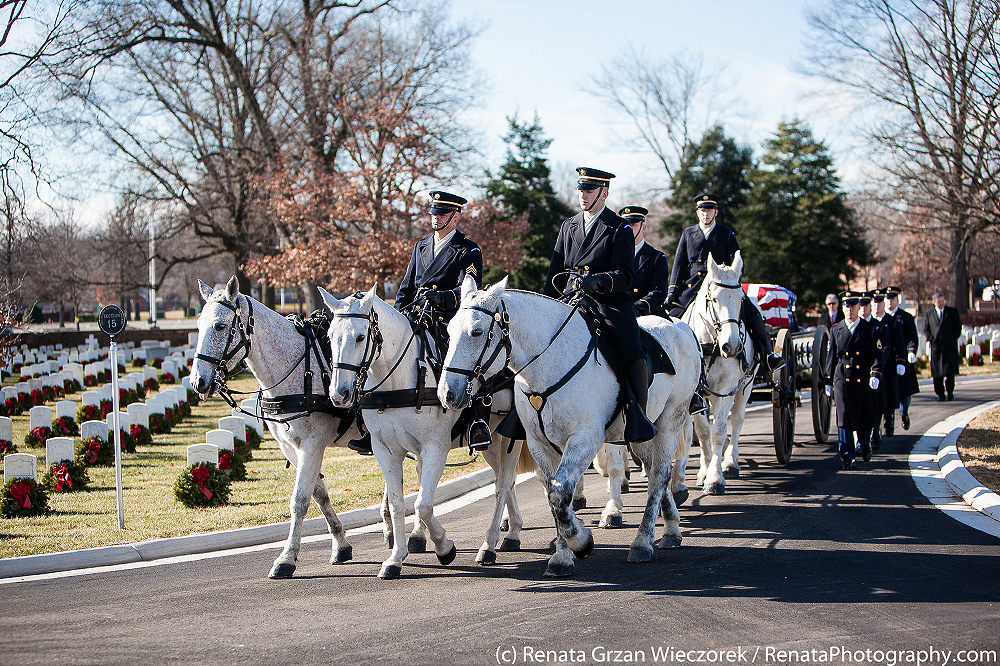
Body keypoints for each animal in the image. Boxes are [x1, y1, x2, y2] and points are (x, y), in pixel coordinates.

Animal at [189, 274, 362, 576]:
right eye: (198, 326)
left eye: (220, 326)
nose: (198, 381)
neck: (299, 369)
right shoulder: (290, 447)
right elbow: (319, 494)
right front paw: (340, 544)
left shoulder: (312, 445)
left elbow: (300, 500)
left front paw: (286, 558)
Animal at [318, 288, 524, 580]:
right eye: (330, 336)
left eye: (359, 337)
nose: (339, 394)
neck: (397, 381)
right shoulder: (386, 451)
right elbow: (397, 504)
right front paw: (395, 558)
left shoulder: (434, 448)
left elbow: (423, 505)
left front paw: (445, 548)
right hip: (492, 446)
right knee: (505, 483)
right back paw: (513, 530)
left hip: (507, 441)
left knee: (503, 485)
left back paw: (490, 545)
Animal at [442, 274, 700, 576]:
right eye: (448, 331)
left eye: (477, 332)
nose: (447, 393)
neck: (547, 365)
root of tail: (680, 327)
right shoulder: (540, 445)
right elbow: (553, 496)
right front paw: (562, 557)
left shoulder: (584, 440)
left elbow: (560, 493)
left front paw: (581, 541)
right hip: (642, 432)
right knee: (654, 470)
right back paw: (671, 527)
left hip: (671, 419)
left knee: (659, 474)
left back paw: (643, 541)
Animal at [680, 252, 756, 496]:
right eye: (714, 299)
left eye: (741, 300)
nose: (731, 347)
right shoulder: (698, 393)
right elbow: (704, 432)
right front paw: (705, 472)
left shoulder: (726, 389)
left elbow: (719, 432)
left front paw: (715, 478)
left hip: (745, 386)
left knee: (738, 420)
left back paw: (731, 463)